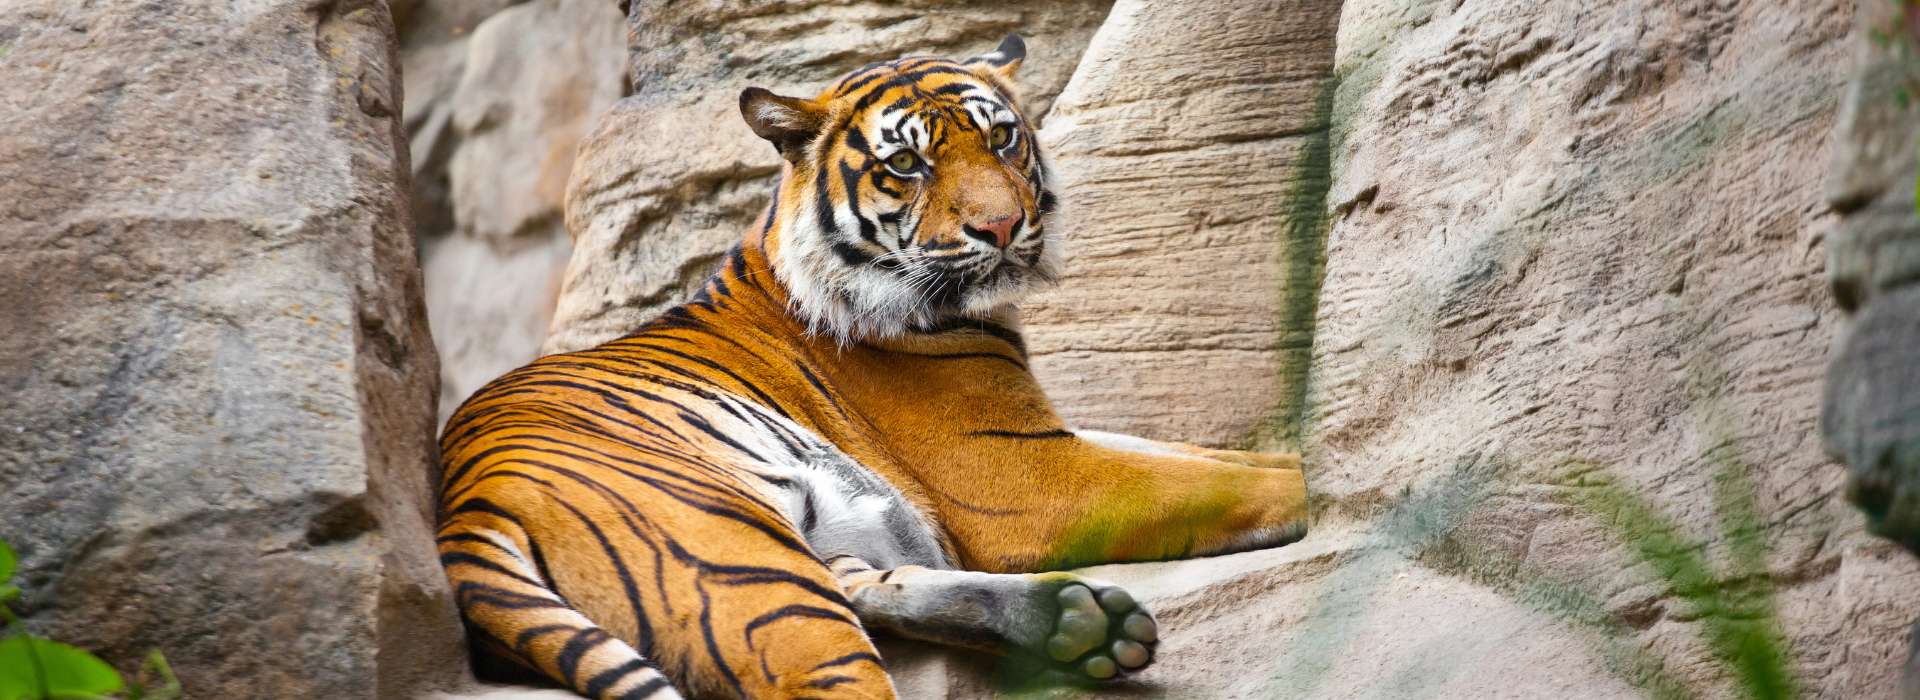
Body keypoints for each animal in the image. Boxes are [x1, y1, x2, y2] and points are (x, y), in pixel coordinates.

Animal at [435, 34, 1311, 699]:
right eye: (908, 167)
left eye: (1001, 139)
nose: (1003, 227)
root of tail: (463, 511)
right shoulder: (1028, 478)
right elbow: (1221, 485)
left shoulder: (1051, 435)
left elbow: (1219, 458)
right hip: (749, 569)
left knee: (871, 585)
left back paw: (1076, 624)